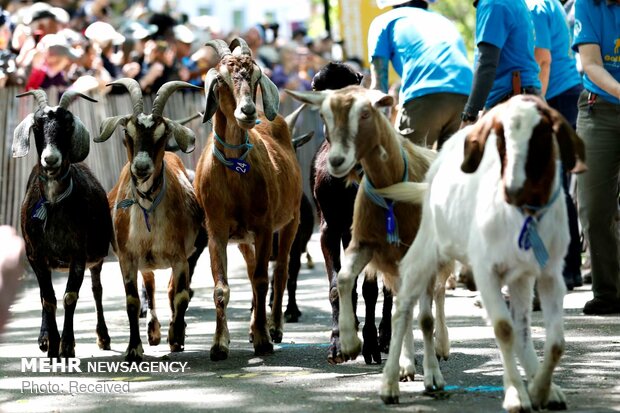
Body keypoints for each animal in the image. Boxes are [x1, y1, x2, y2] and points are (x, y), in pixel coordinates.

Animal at [12, 90, 112, 358]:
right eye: (37, 125)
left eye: (68, 124)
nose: (50, 159)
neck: (54, 204)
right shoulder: (35, 255)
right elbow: (48, 298)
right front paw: (53, 345)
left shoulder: (79, 254)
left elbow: (69, 297)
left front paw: (67, 346)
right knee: (43, 295)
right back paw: (44, 338)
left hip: (97, 257)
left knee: (97, 290)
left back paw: (103, 337)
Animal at [95, 78, 205, 360]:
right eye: (127, 133)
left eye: (162, 135)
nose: (141, 167)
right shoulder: (128, 258)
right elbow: (133, 301)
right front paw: (134, 348)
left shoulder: (180, 257)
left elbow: (180, 296)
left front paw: (175, 336)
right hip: (144, 261)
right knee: (151, 286)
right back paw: (151, 332)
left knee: (170, 290)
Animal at [193, 38, 302, 360]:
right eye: (220, 79)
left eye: (255, 76)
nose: (248, 111)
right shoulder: (216, 230)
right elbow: (221, 288)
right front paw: (219, 345)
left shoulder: (265, 226)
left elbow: (262, 280)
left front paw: (264, 340)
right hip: (243, 238)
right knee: (255, 271)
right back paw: (254, 328)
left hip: (291, 219)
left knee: (280, 271)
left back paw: (273, 327)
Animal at [286, 86, 450, 384]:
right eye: (325, 115)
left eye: (366, 114)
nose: (340, 162)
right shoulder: (333, 229)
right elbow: (338, 285)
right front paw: (340, 344)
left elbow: (373, 291)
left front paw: (373, 344)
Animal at [378, 95, 588, 410]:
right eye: (500, 137)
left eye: (540, 135)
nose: (513, 188)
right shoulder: (486, 270)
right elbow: (503, 328)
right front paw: (516, 395)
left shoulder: (551, 274)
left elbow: (554, 342)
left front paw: (540, 390)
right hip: (427, 248)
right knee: (403, 306)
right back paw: (391, 383)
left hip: (521, 277)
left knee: (523, 328)